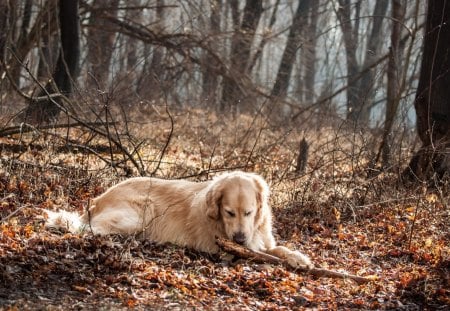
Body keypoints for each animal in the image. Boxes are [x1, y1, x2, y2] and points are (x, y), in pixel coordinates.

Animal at [46, 172, 312, 270]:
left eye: (248, 212)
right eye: (229, 213)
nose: (239, 239)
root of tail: (98, 199)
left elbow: (278, 248)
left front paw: (299, 258)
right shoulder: (226, 249)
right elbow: (267, 254)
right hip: (141, 213)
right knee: (87, 229)